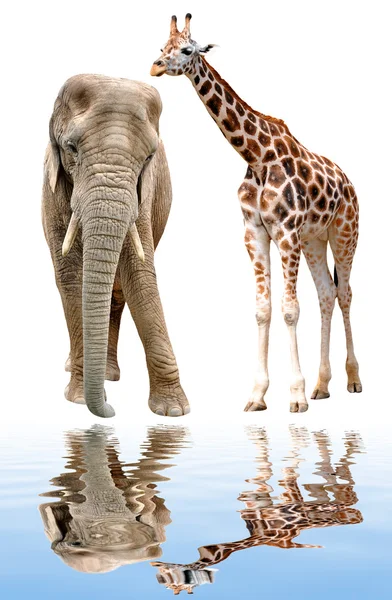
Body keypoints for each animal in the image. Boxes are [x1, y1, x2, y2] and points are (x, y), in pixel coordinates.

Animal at [43, 75, 190, 418]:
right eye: (71, 148)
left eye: (149, 158)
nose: (110, 411)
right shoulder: (51, 189)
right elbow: (71, 277)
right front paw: (78, 399)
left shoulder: (143, 194)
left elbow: (139, 276)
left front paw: (173, 411)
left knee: (118, 292)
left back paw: (108, 375)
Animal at [150, 16, 362, 414]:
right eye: (160, 48)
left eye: (186, 49)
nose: (154, 67)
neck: (257, 156)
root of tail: (349, 182)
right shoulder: (255, 233)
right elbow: (263, 309)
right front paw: (258, 395)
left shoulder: (286, 233)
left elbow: (290, 308)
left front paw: (295, 396)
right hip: (314, 240)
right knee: (326, 294)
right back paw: (323, 385)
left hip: (345, 233)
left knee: (345, 294)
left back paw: (353, 380)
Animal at [152, 426, 364, 596]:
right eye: (165, 581)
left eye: (173, 582)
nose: (156, 565)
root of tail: (359, 518)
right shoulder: (257, 499)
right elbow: (266, 472)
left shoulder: (290, 500)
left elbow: (287, 467)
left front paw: (302, 438)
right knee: (328, 486)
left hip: (345, 503)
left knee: (346, 490)